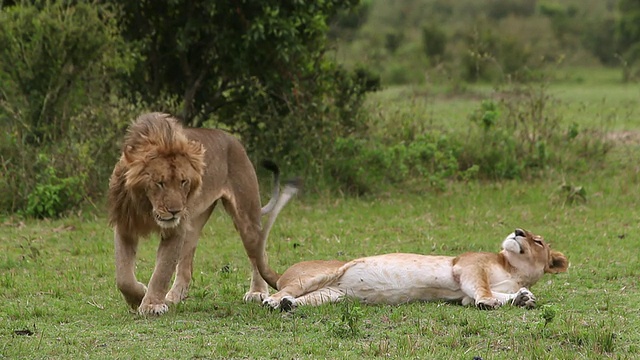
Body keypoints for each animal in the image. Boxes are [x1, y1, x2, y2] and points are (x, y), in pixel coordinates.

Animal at [109, 112, 292, 316]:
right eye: (160, 183)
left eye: (183, 181)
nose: (175, 211)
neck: (147, 206)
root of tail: (234, 141)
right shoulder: (125, 224)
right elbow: (123, 276)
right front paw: (138, 296)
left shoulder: (175, 230)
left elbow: (162, 270)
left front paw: (151, 305)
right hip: (193, 226)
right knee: (186, 268)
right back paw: (173, 297)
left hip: (247, 216)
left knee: (258, 255)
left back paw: (257, 292)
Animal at [262, 229, 568, 310]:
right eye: (527, 234)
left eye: (537, 241)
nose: (517, 231)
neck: (514, 270)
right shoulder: (467, 266)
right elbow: (483, 289)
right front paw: (490, 301)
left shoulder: (464, 296)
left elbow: (493, 296)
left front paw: (522, 298)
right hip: (319, 275)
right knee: (285, 290)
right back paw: (273, 301)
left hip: (332, 294)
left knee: (303, 298)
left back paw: (289, 305)